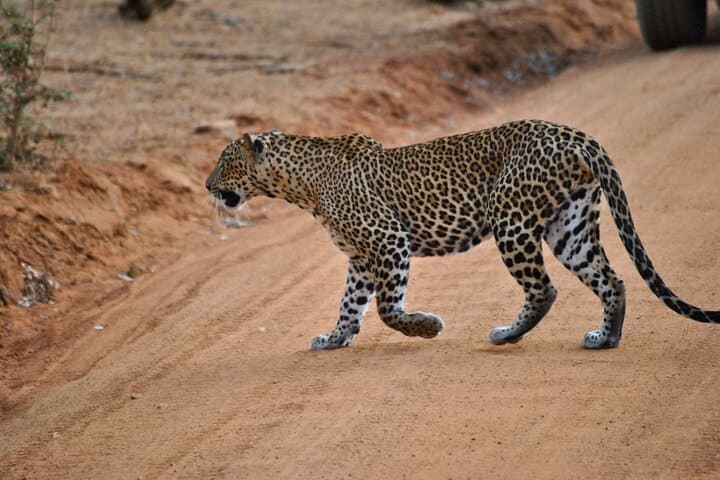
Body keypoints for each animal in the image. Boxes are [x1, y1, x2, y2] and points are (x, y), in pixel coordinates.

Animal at [204, 120, 719, 350]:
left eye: (225, 162)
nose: (208, 186)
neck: (299, 183)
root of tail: (575, 135)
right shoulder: (360, 258)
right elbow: (350, 305)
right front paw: (334, 338)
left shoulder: (388, 241)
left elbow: (388, 309)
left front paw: (427, 327)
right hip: (569, 225)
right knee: (610, 280)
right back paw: (605, 338)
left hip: (511, 219)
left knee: (544, 288)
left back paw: (508, 334)